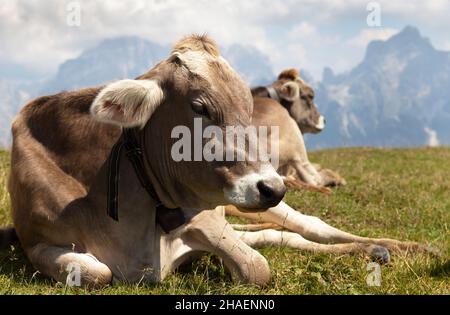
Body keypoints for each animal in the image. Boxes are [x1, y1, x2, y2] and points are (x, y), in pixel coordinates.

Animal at [0, 34, 436, 288]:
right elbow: (95, 271)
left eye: (249, 108)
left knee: (305, 227)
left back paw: (397, 247)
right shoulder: (37, 243)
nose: (271, 187)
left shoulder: (206, 218)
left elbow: (258, 267)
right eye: (199, 108)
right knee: (273, 233)